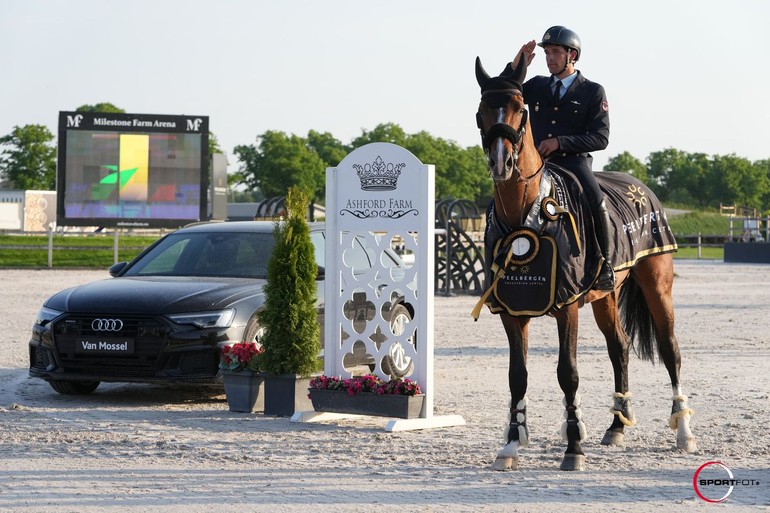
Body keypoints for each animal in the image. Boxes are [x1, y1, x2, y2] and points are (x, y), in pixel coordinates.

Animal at [474, 55, 696, 468]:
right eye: (481, 111)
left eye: (519, 108)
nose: (501, 162)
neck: (524, 214)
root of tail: (642, 190)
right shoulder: (513, 310)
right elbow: (517, 375)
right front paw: (511, 444)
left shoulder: (566, 306)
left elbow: (568, 373)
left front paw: (573, 446)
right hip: (605, 296)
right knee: (619, 347)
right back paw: (617, 426)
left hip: (657, 287)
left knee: (670, 350)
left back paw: (684, 431)